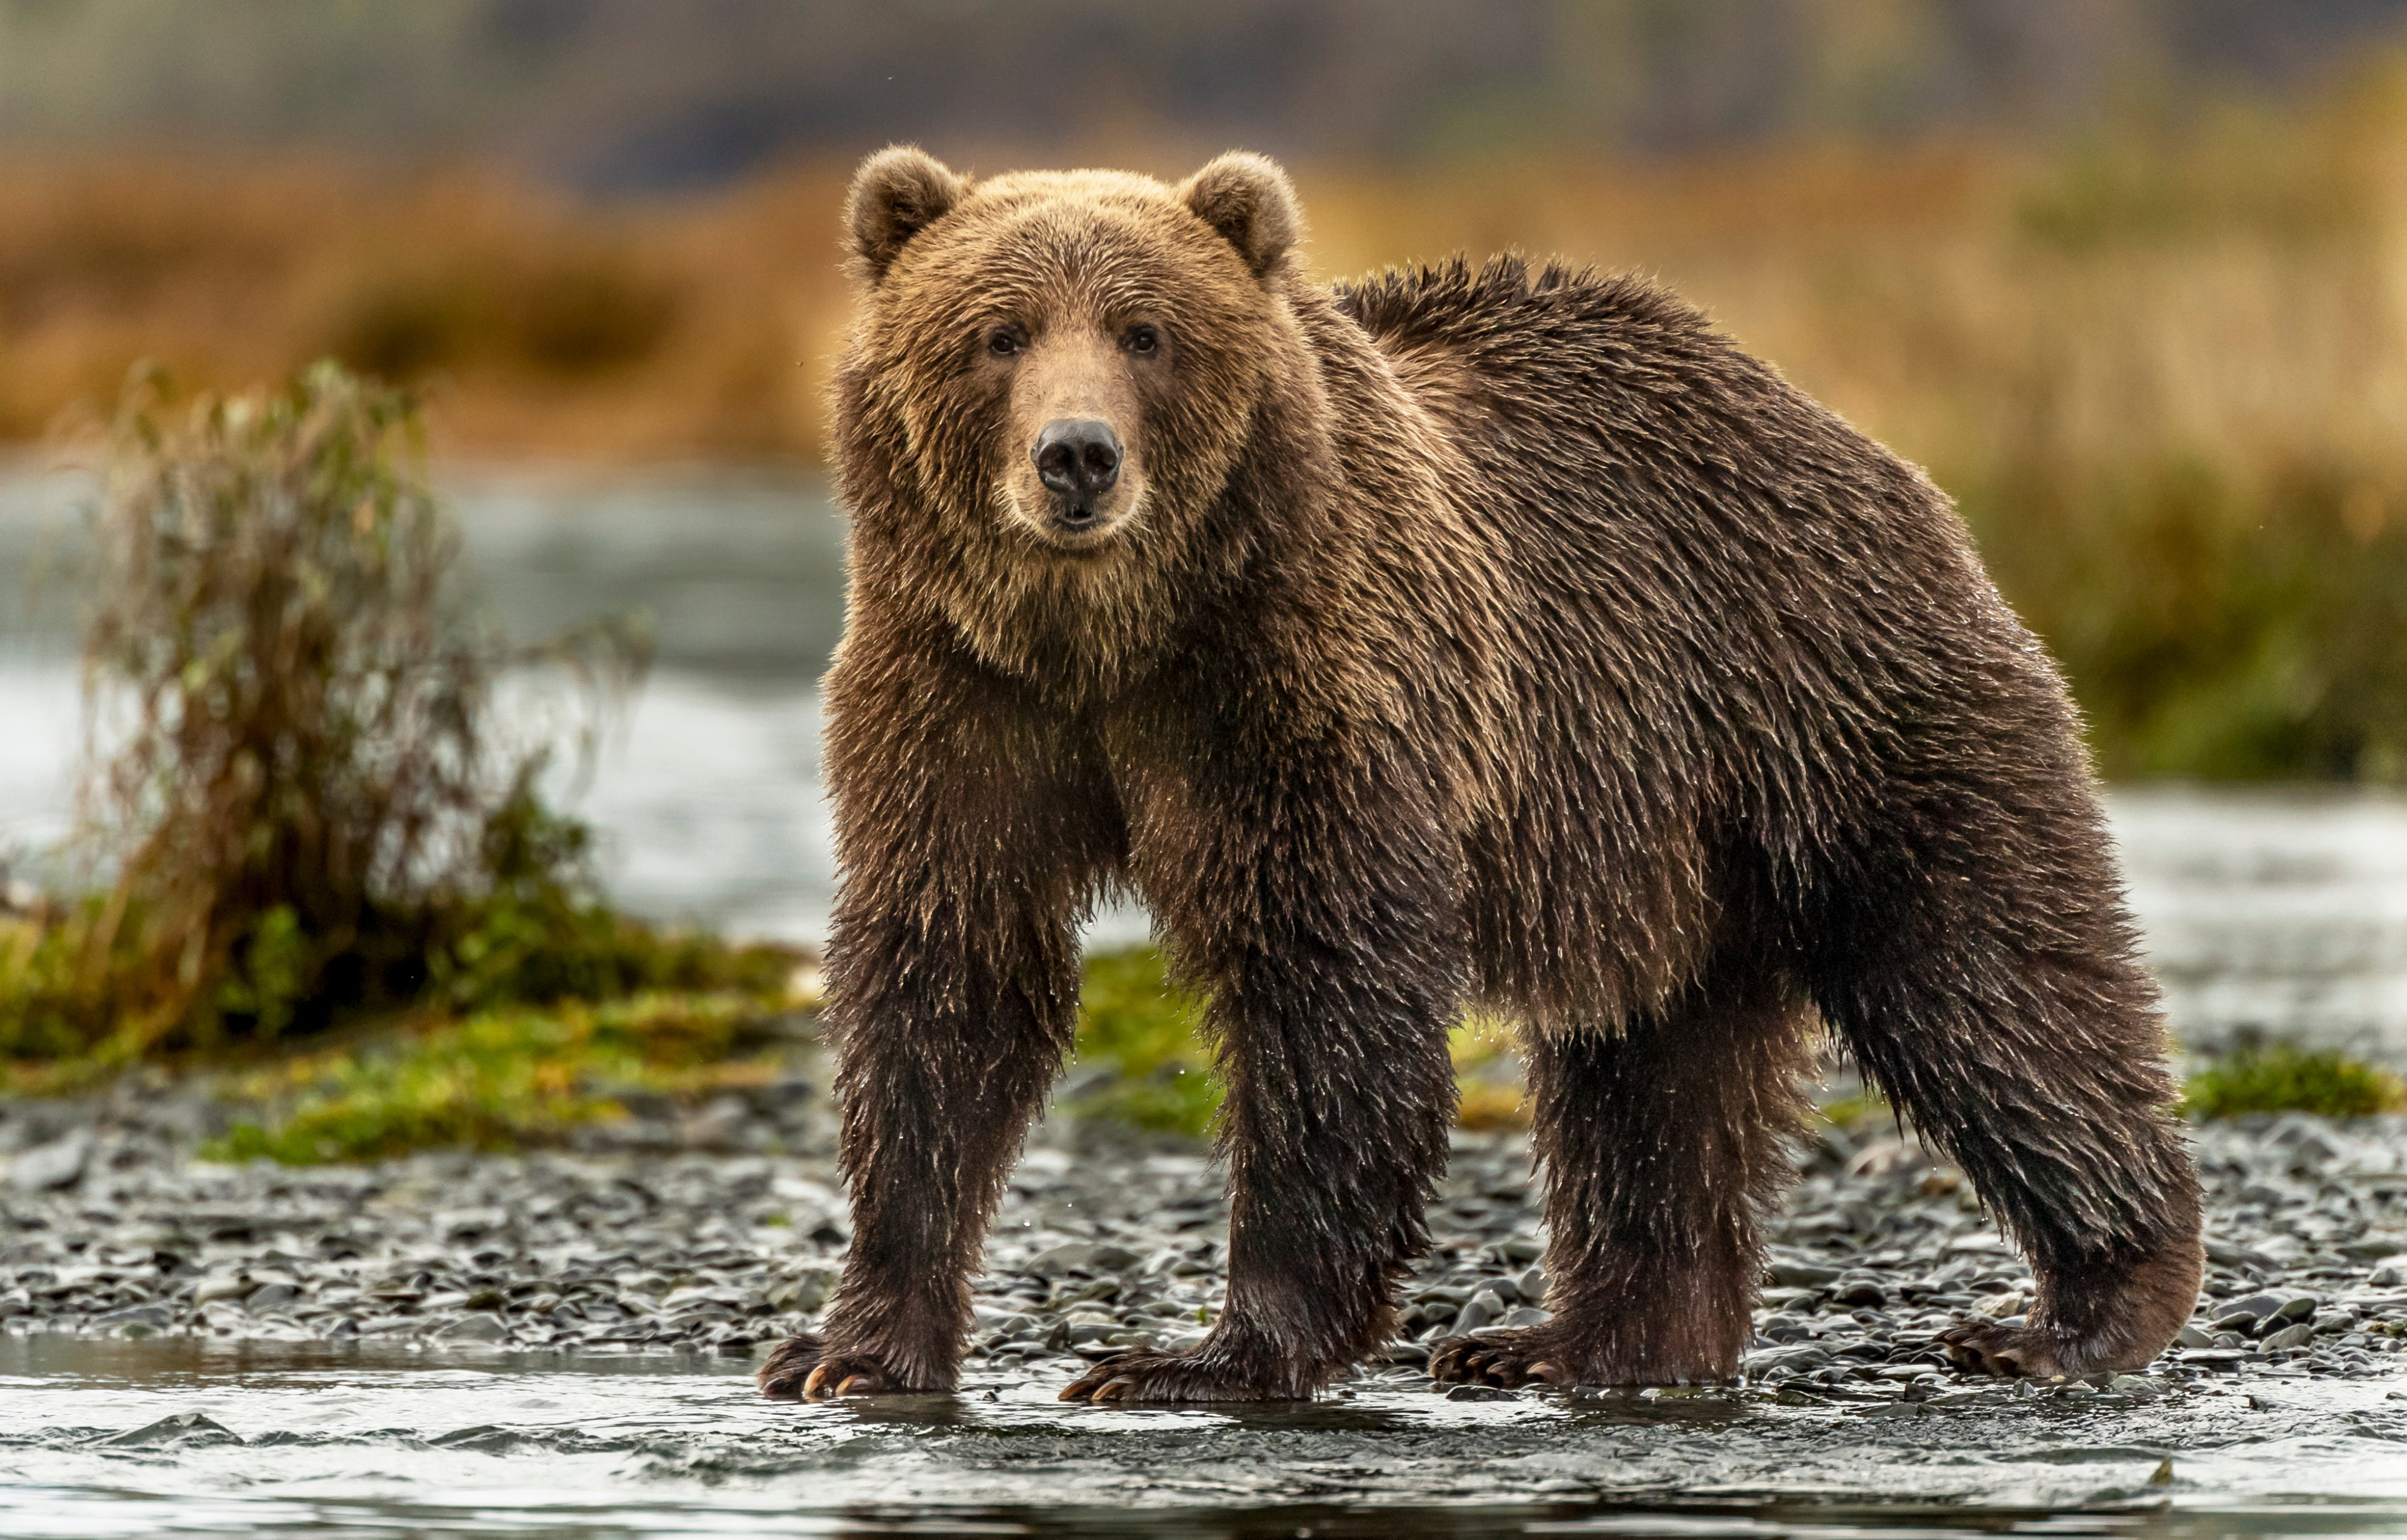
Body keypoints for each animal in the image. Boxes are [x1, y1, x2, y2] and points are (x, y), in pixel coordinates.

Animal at [756, 146, 2204, 1404]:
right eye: (999, 332)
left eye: (1144, 331)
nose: (1076, 456)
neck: (1112, 638)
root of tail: (1853, 441)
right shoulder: (957, 693)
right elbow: (950, 977)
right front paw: (850, 1347)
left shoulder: (1301, 687)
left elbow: (1324, 982)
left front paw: (1200, 1355)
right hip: (1663, 834)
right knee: (1649, 1069)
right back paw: (1579, 1337)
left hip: (1830, 699)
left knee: (1982, 977)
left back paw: (2074, 1307)